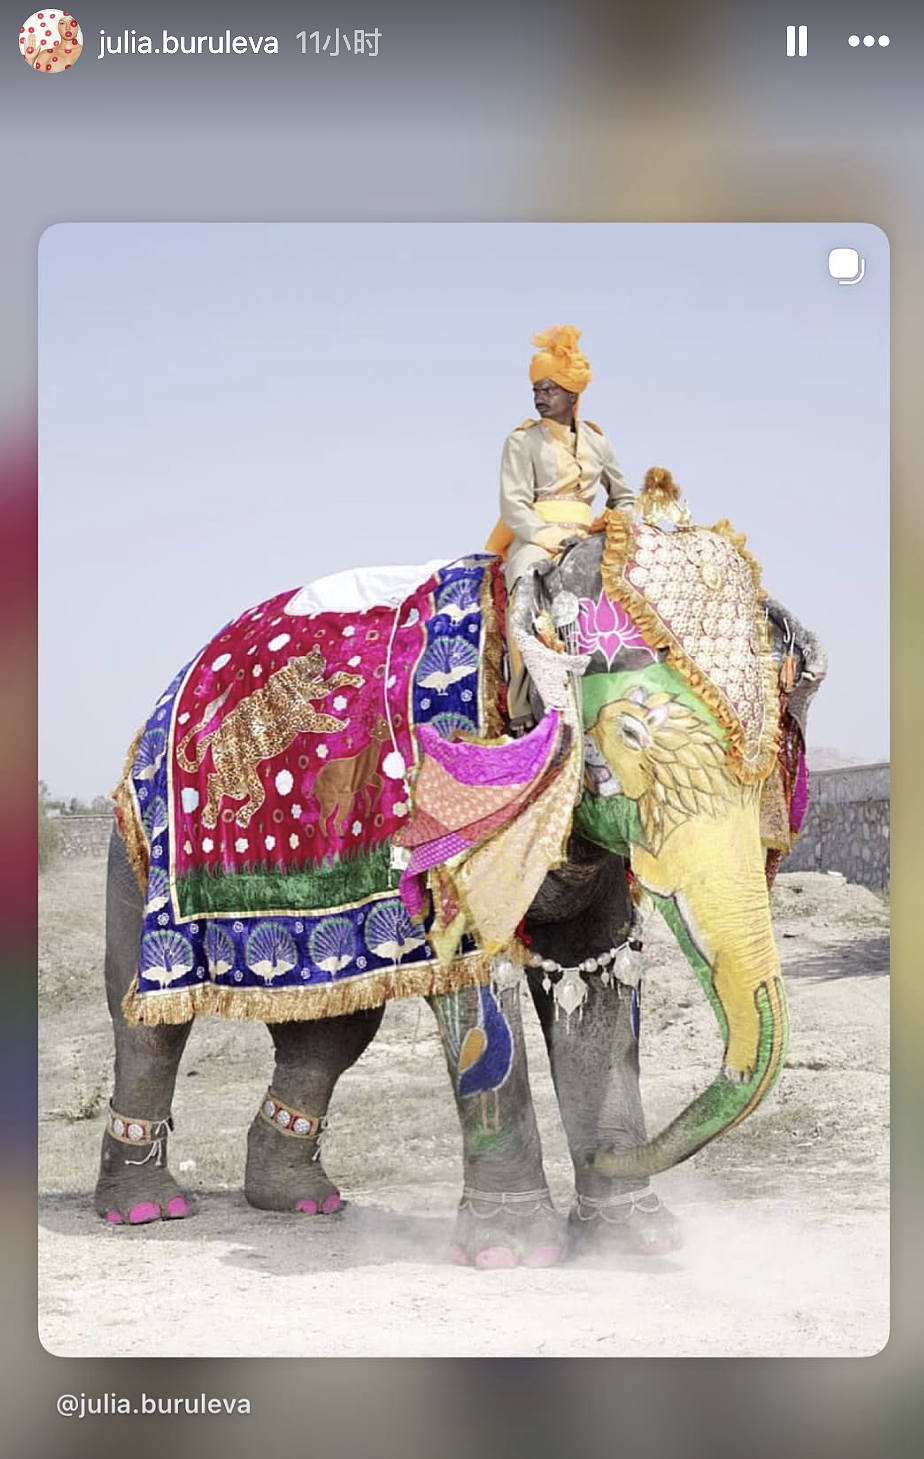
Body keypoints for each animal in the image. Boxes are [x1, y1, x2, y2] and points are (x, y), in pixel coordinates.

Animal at [94, 500, 824, 1269]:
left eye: (775, 755)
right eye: (631, 734)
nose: (614, 1156)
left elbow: (596, 972)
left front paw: (636, 1241)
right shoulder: (446, 795)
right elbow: (476, 976)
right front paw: (514, 1254)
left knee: (334, 1027)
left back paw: (301, 1202)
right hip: (139, 843)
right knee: (148, 1021)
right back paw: (147, 1209)